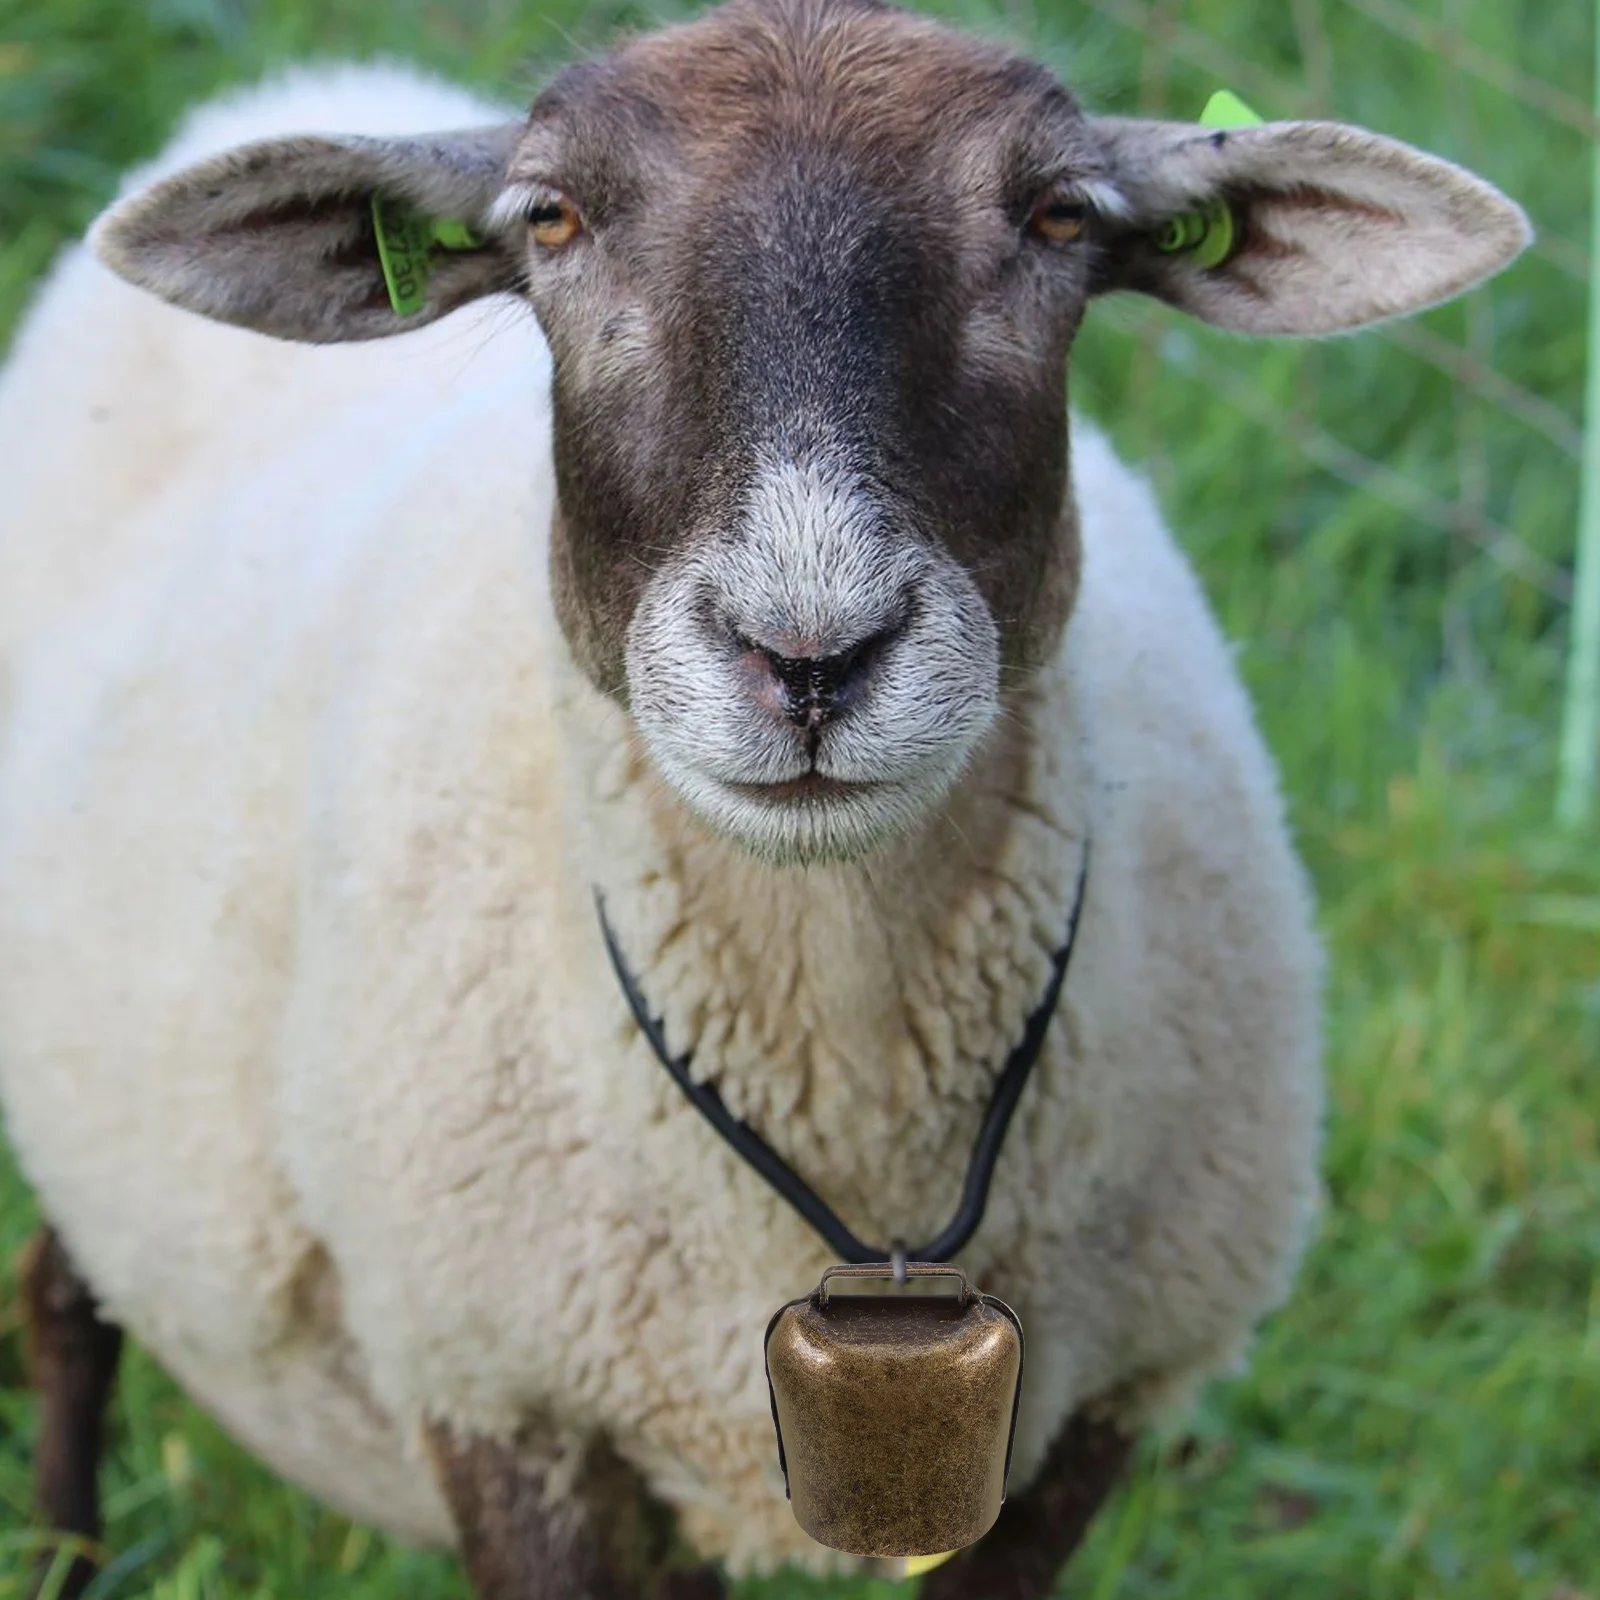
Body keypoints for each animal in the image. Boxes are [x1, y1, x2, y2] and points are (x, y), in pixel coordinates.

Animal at [0, 1, 1528, 1595]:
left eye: (1057, 216)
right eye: (550, 217)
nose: (808, 654)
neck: (844, 1045)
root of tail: (303, 84)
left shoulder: (1087, 1415)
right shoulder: (503, 1403)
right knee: (60, 1294)